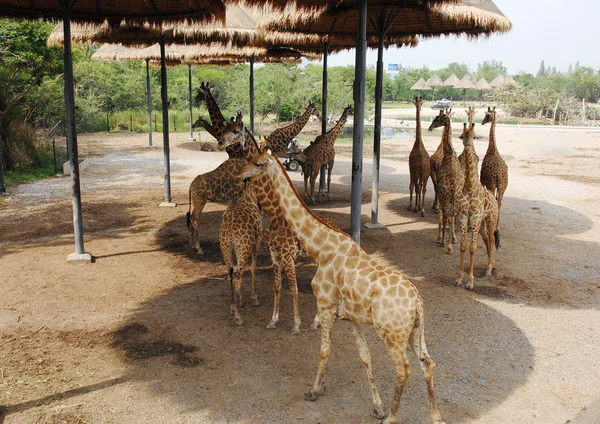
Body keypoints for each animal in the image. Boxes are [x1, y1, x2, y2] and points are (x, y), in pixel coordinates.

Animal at [217, 179, 262, 324]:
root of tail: (230, 234)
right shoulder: (256, 243)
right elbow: (253, 269)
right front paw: (254, 298)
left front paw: (240, 300)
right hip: (243, 250)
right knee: (237, 277)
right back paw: (238, 317)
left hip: (226, 250)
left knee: (231, 276)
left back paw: (232, 308)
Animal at [237, 149, 442, 424]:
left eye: (258, 163)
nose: (239, 175)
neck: (321, 248)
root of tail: (418, 303)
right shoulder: (352, 318)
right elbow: (365, 357)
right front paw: (376, 406)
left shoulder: (324, 306)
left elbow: (324, 351)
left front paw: (314, 391)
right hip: (415, 330)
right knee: (427, 363)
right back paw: (435, 416)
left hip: (392, 333)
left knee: (404, 369)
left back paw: (392, 417)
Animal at [428, 109, 466, 255]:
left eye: (438, 119)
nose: (430, 127)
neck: (449, 154)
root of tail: (453, 187)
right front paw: (453, 239)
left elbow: (442, 214)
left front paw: (442, 239)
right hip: (456, 197)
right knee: (453, 215)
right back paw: (450, 243)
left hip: (446, 196)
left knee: (446, 215)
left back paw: (446, 244)